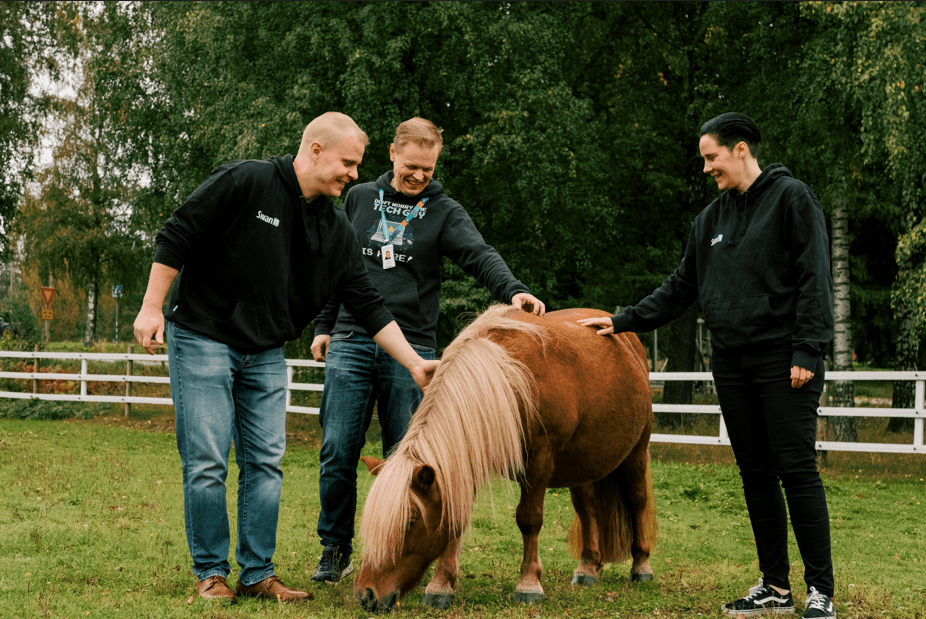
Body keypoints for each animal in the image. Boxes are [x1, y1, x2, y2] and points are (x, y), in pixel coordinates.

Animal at [353, 305, 657, 612]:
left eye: (410, 520)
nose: (367, 594)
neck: (508, 379)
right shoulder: (468, 460)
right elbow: (457, 518)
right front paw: (441, 586)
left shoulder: (538, 463)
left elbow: (529, 520)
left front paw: (529, 584)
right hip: (582, 465)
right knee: (587, 510)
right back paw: (588, 567)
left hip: (635, 453)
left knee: (636, 501)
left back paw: (641, 566)